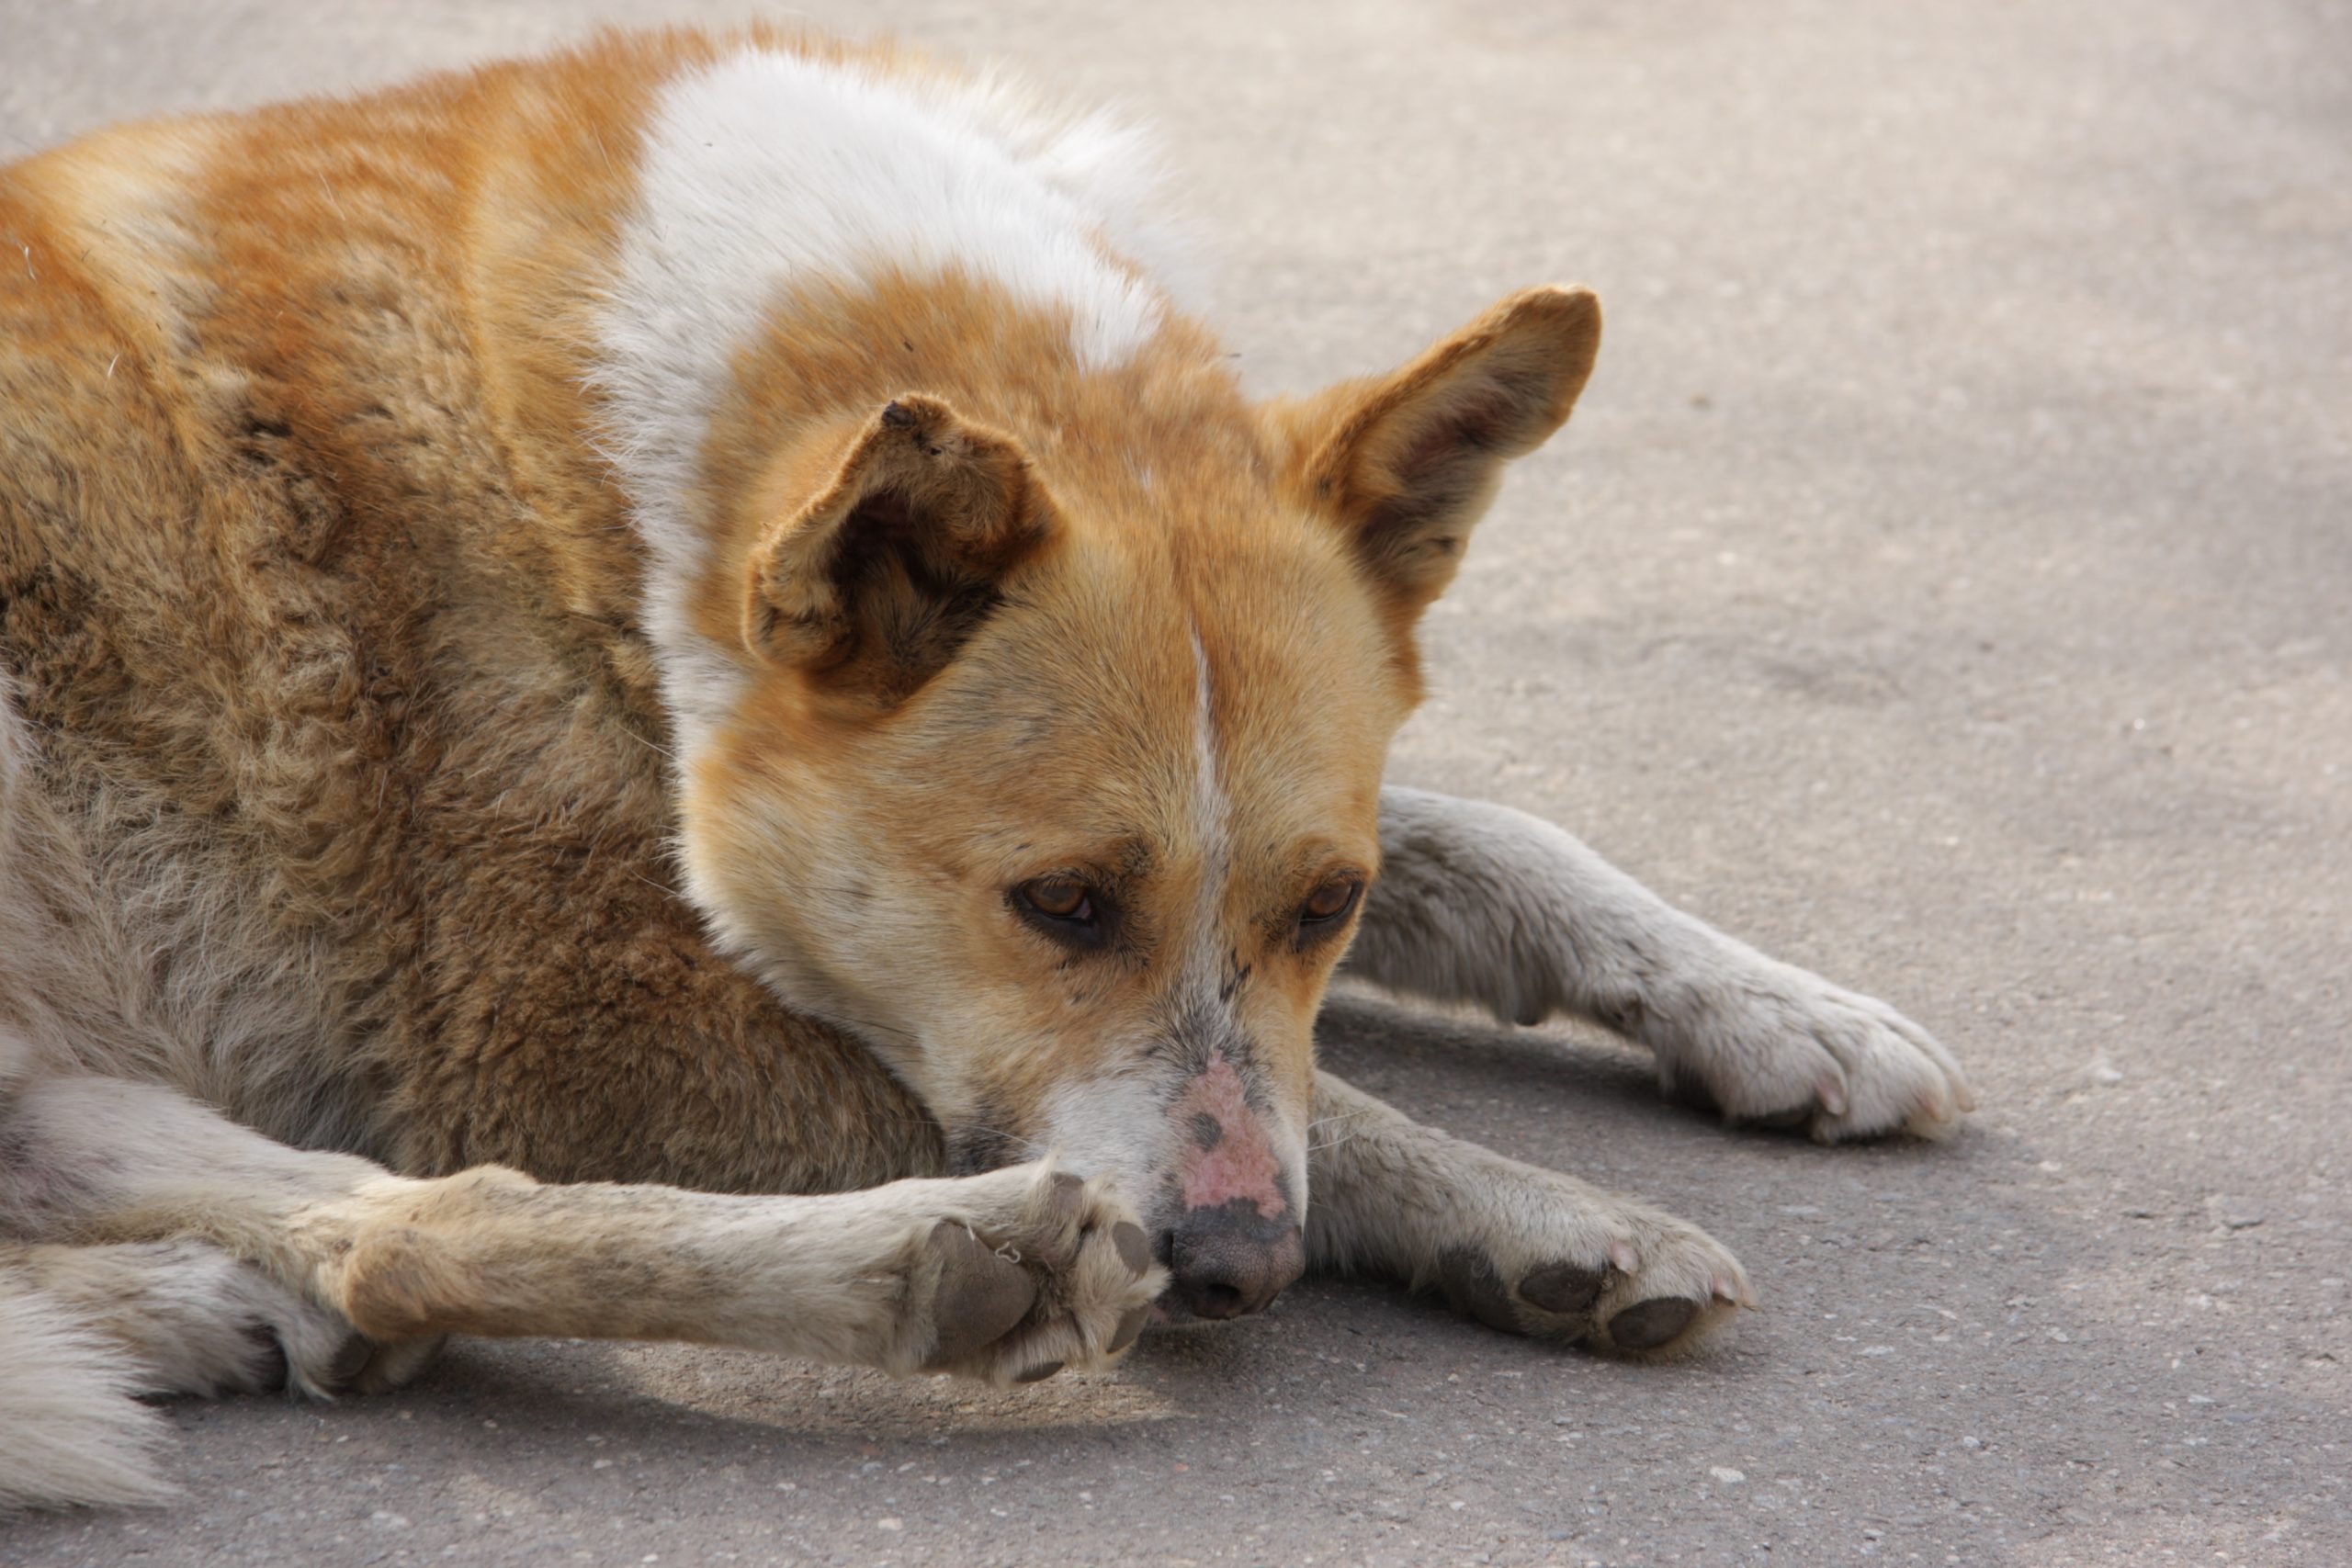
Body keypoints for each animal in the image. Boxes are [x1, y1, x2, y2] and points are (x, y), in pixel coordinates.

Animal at [0, 24, 1975, 1514]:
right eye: (1060, 904)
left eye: (1323, 907)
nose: (1243, 1276)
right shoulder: (573, 1025)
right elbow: (1331, 1115)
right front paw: (1530, 1205)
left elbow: (1492, 844)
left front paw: (1780, 1009)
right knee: (429, 1221)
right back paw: (931, 1264)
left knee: (368, 1234)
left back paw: (196, 1307)